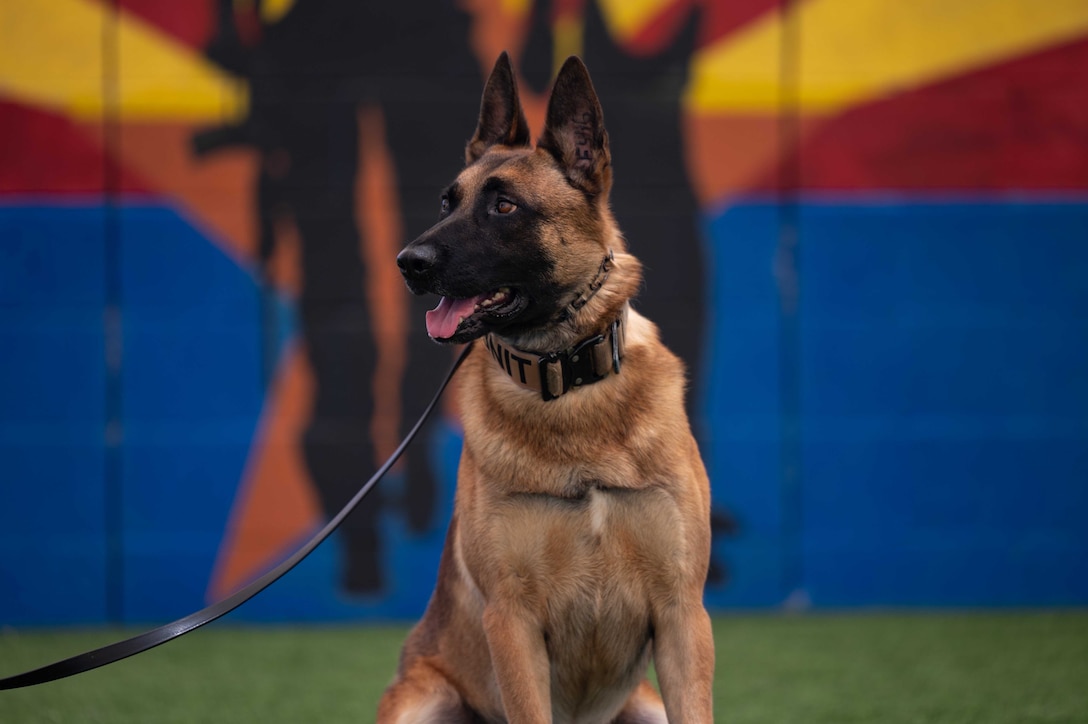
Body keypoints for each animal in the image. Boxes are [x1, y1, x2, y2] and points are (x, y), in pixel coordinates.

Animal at [378, 52, 718, 722]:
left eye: (505, 207)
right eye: (446, 202)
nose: (408, 263)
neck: (566, 379)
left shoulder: (683, 616)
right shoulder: (511, 623)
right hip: (419, 699)